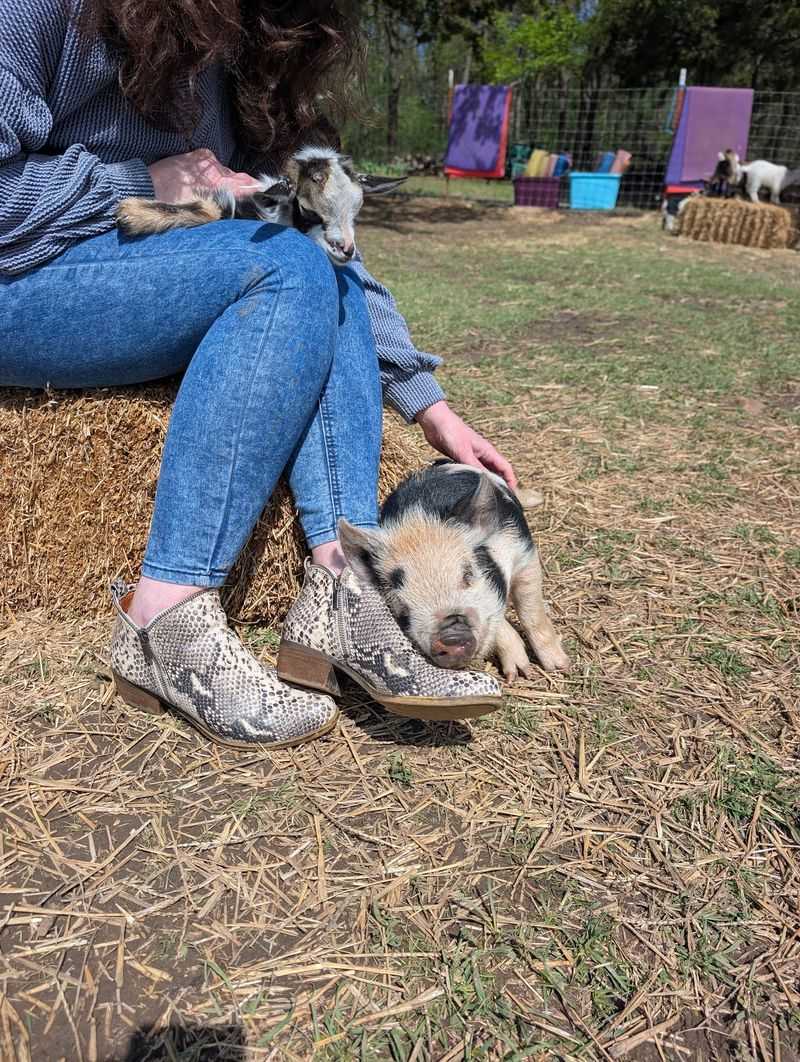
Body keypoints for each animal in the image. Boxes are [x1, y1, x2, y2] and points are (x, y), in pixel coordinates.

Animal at [338, 461, 570, 681]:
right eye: (401, 608)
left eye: (468, 575)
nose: (450, 637)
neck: (419, 522)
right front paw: (516, 673)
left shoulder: (524, 552)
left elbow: (531, 611)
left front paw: (559, 667)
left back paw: (537, 497)